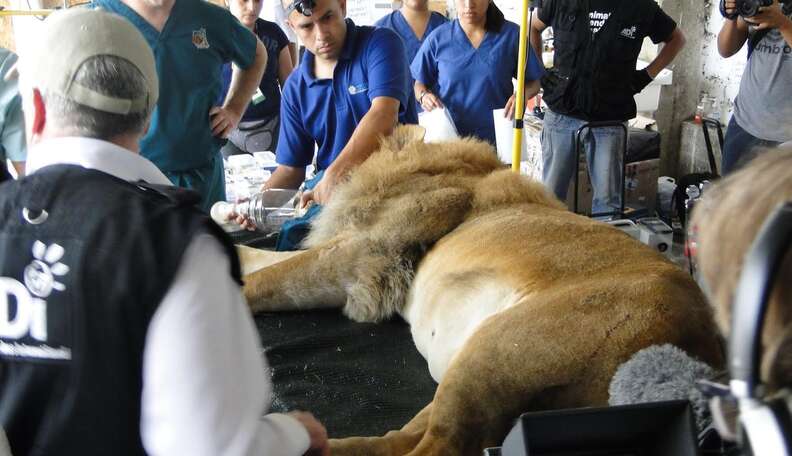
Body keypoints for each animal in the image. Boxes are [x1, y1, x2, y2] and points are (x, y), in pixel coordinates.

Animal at [240, 125, 724, 456]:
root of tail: (703, 351)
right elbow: (263, 262)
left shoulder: (364, 256)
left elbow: (270, 278)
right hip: (471, 368)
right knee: (402, 438)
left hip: (497, 351)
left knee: (438, 447)